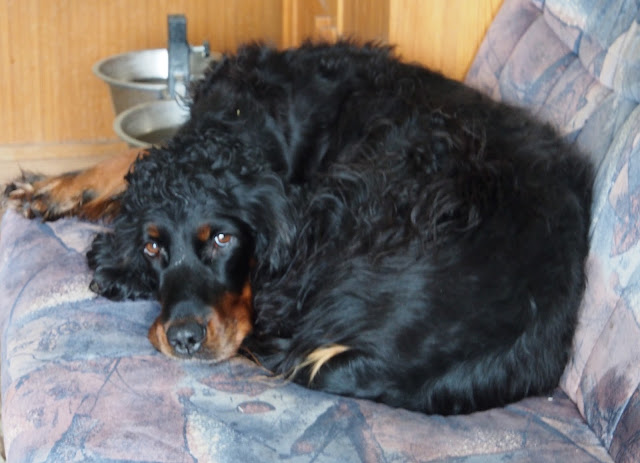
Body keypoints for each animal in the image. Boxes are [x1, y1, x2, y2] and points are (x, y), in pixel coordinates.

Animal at [5, 41, 593, 415]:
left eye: (223, 239)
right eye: (153, 247)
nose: (185, 339)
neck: (246, 122)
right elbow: (131, 158)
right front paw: (55, 188)